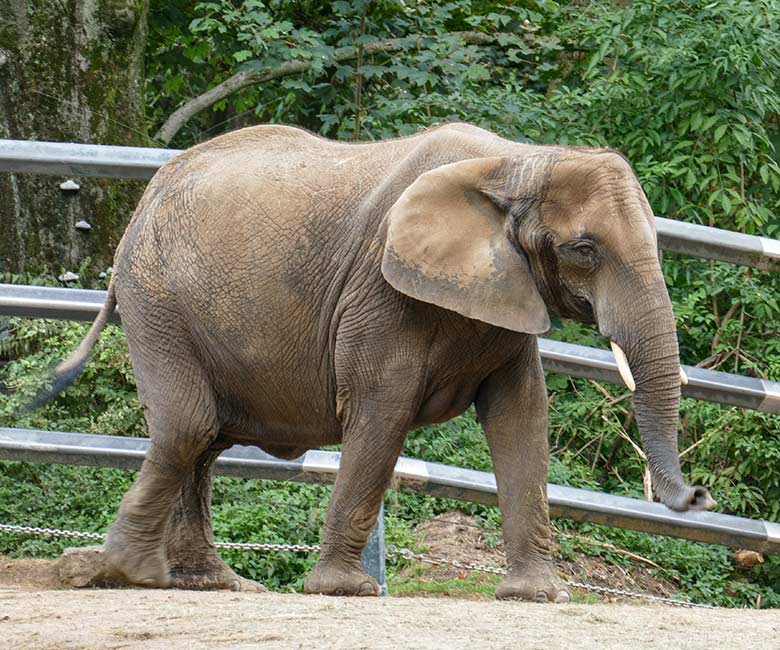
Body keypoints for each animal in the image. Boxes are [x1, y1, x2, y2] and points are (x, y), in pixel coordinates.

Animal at [42, 120, 716, 596]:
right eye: (583, 250)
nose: (701, 497)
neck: (515, 162)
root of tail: (146, 198)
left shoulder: (507, 294)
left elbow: (521, 416)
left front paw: (538, 597)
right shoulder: (379, 291)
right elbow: (384, 408)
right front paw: (345, 590)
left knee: (202, 438)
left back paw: (209, 581)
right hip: (155, 297)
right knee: (188, 425)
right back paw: (125, 573)